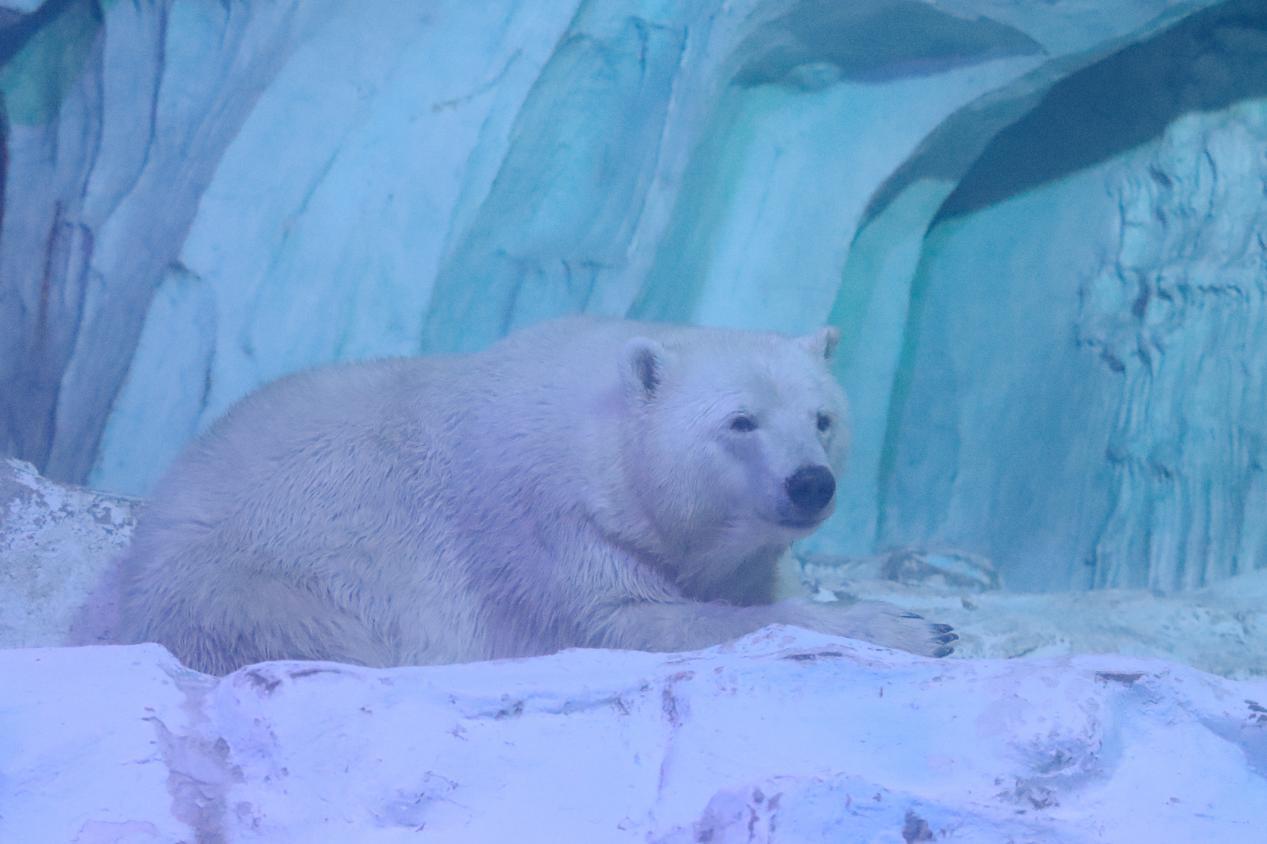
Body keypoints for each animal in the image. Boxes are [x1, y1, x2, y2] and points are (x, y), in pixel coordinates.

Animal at [119, 315, 952, 669]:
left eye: (822, 418)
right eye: (740, 421)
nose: (809, 483)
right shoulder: (554, 532)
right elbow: (634, 621)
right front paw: (917, 627)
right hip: (241, 587)